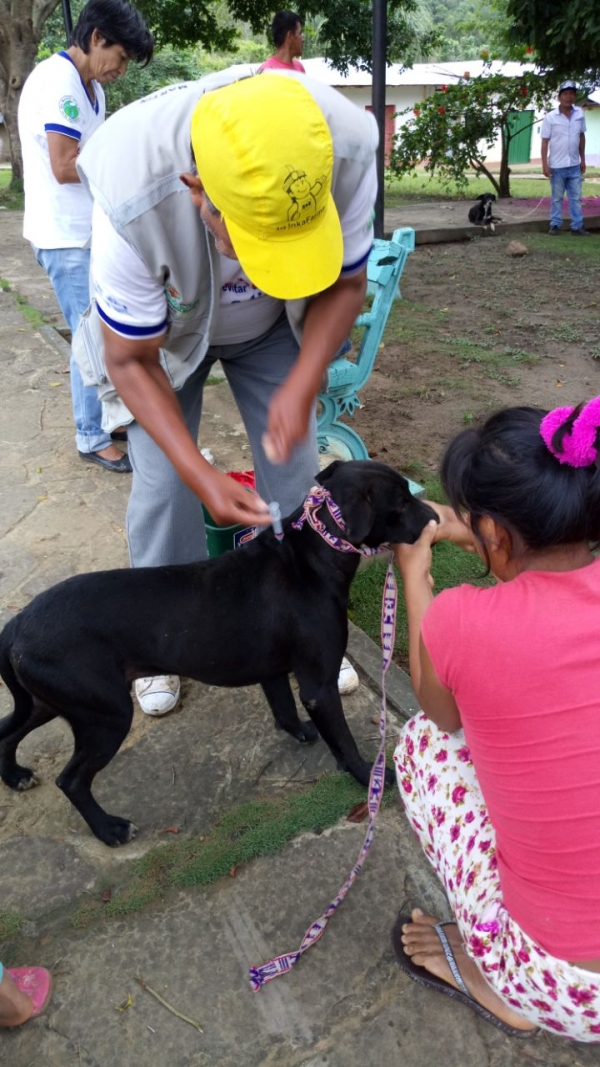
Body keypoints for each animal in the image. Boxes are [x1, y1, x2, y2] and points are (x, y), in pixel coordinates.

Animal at [0, 463, 433, 845]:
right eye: (401, 501)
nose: (433, 516)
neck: (317, 548)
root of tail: (18, 623)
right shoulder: (318, 688)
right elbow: (343, 740)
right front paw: (369, 776)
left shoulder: (273, 671)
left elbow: (284, 709)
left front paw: (299, 731)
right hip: (104, 716)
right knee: (71, 780)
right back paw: (108, 829)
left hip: (52, 703)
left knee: (8, 731)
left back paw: (15, 776)